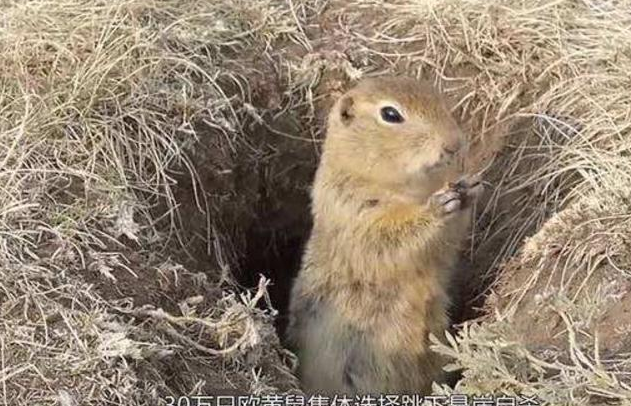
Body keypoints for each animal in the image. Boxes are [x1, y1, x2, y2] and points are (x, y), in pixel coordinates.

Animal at [286, 77, 484, 396]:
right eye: (390, 114)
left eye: (437, 97)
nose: (454, 144)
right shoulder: (352, 208)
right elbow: (389, 237)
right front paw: (437, 207)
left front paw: (470, 187)